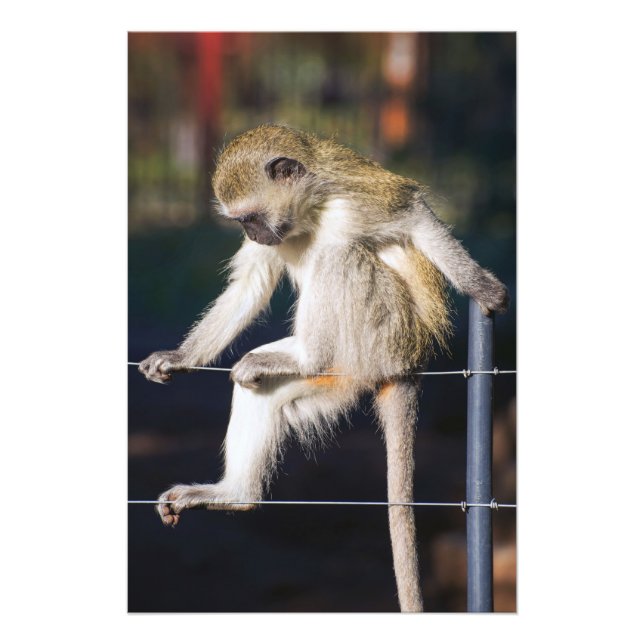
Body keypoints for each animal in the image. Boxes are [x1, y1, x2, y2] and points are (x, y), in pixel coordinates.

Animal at [138, 124, 508, 612]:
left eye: (249, 216)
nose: (254, 235)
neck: (310, 210)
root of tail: (410, 362)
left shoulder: (355, 202)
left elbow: (415, 216)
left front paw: (482, 286)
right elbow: (249, 286)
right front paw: (181, 358)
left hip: (383, 335)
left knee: (339, 256)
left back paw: (304, 353)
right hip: (344, 375)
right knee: (262, 390)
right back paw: (236, 494)